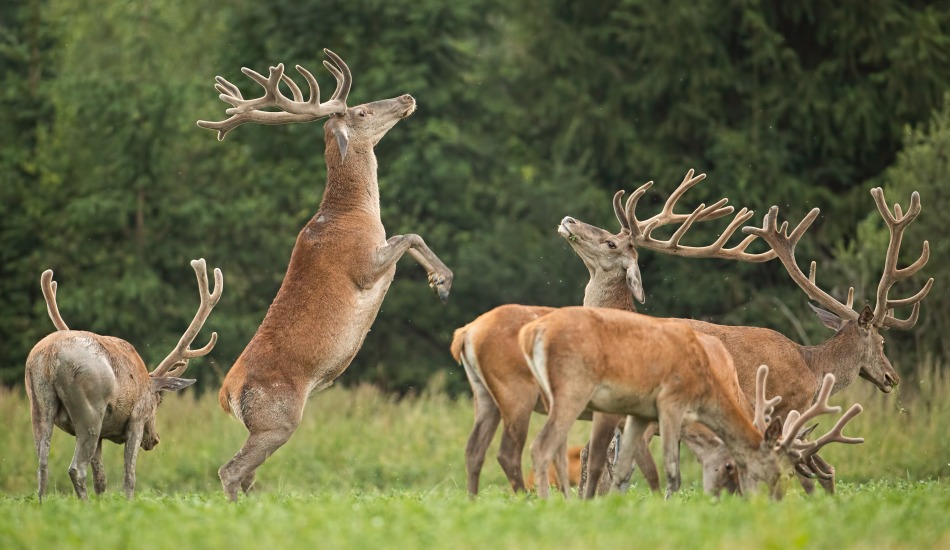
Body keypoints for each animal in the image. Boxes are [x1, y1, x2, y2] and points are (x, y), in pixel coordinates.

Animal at [25, 260, 222, 502]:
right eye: (159, 401)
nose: (155, 439)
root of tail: (50, 356)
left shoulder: (103, 434)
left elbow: (101, 480)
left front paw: (103, 504)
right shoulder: (137, 419)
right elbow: (129, 476)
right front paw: (128, 504)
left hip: (39, 405)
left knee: (42, 466)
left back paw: (44, 505)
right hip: (89, 410)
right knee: (75, 468)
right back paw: (84, 505)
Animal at [197, 49, 454, 502]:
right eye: (362, 110)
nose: (407, 97)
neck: (353, 214)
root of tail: (227, 395)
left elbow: (408, 237)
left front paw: (439, 283)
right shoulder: (363, 265)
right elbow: (410, 235)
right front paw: (443, 280)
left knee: (245, 474)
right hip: (277, 419)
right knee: (230, 470)